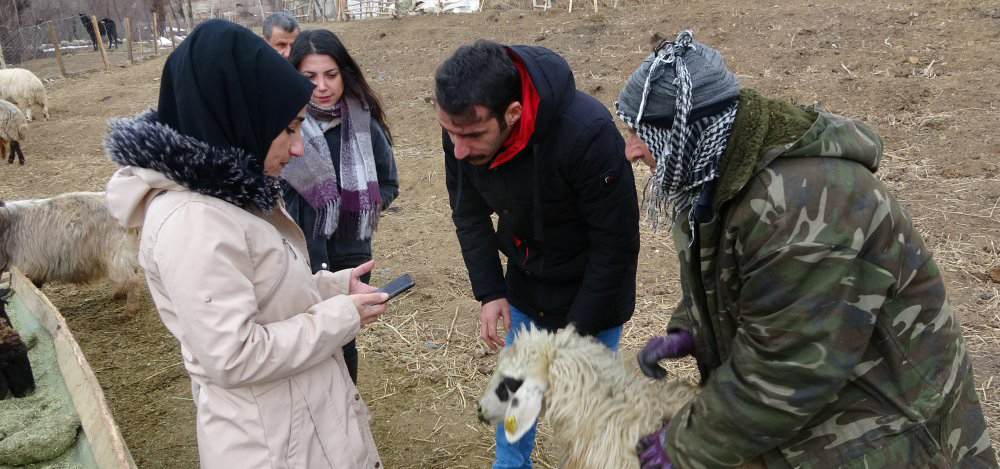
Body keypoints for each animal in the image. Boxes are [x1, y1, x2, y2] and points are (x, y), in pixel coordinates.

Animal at [0, 192, 143, 316]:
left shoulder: (27, 269)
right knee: (132, 274)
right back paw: (120, 295)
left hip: (116, 256)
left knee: (132, 280)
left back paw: (128, 310)